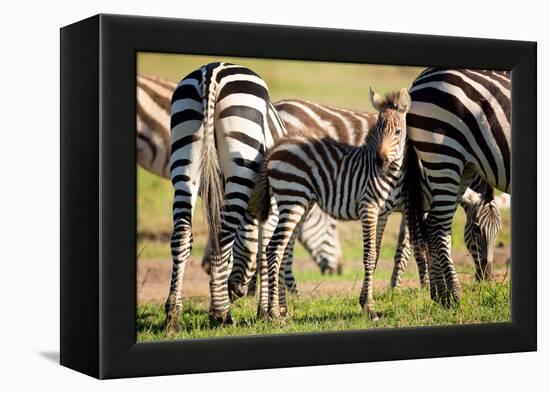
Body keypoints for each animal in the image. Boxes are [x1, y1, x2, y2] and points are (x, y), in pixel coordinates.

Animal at [408, 68, 512, 306]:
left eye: (497, 232)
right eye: (476, 229)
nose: (486, 277)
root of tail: (420, 77)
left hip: (461, 167)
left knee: (434, 227)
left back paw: (440, 296)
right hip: (444, 154)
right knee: (437, 227)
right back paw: (453, 296)